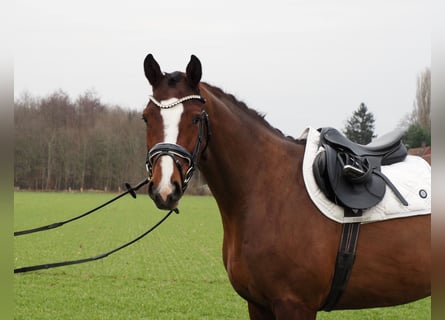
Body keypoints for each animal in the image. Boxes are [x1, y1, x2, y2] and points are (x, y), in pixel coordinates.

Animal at [140, 53, 428, 318]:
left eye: (196, 118)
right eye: (146, 118)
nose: (165, 189)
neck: (266, 190)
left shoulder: (295, 305)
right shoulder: (258, 305)